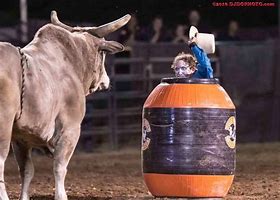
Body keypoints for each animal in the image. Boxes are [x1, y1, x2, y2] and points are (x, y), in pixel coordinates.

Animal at [0, 10, 130, 200]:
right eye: (103, 54)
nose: (106, 81)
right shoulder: (70, 129)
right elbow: (60, 167)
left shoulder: (20, 138)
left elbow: (26, 171)